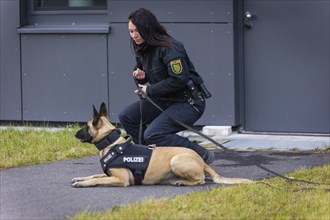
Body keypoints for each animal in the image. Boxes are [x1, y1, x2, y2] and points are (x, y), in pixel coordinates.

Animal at [71, 103, 253, 187]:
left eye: (86, 126)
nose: (75, 134)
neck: (111, 143)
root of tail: (201, 162)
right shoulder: (110, 175)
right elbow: (94, 176)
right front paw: (81, 178)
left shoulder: (121, 179)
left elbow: (97, 180)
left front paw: (83, 184)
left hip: (176, 161)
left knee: (201, 180)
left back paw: (183, 182)